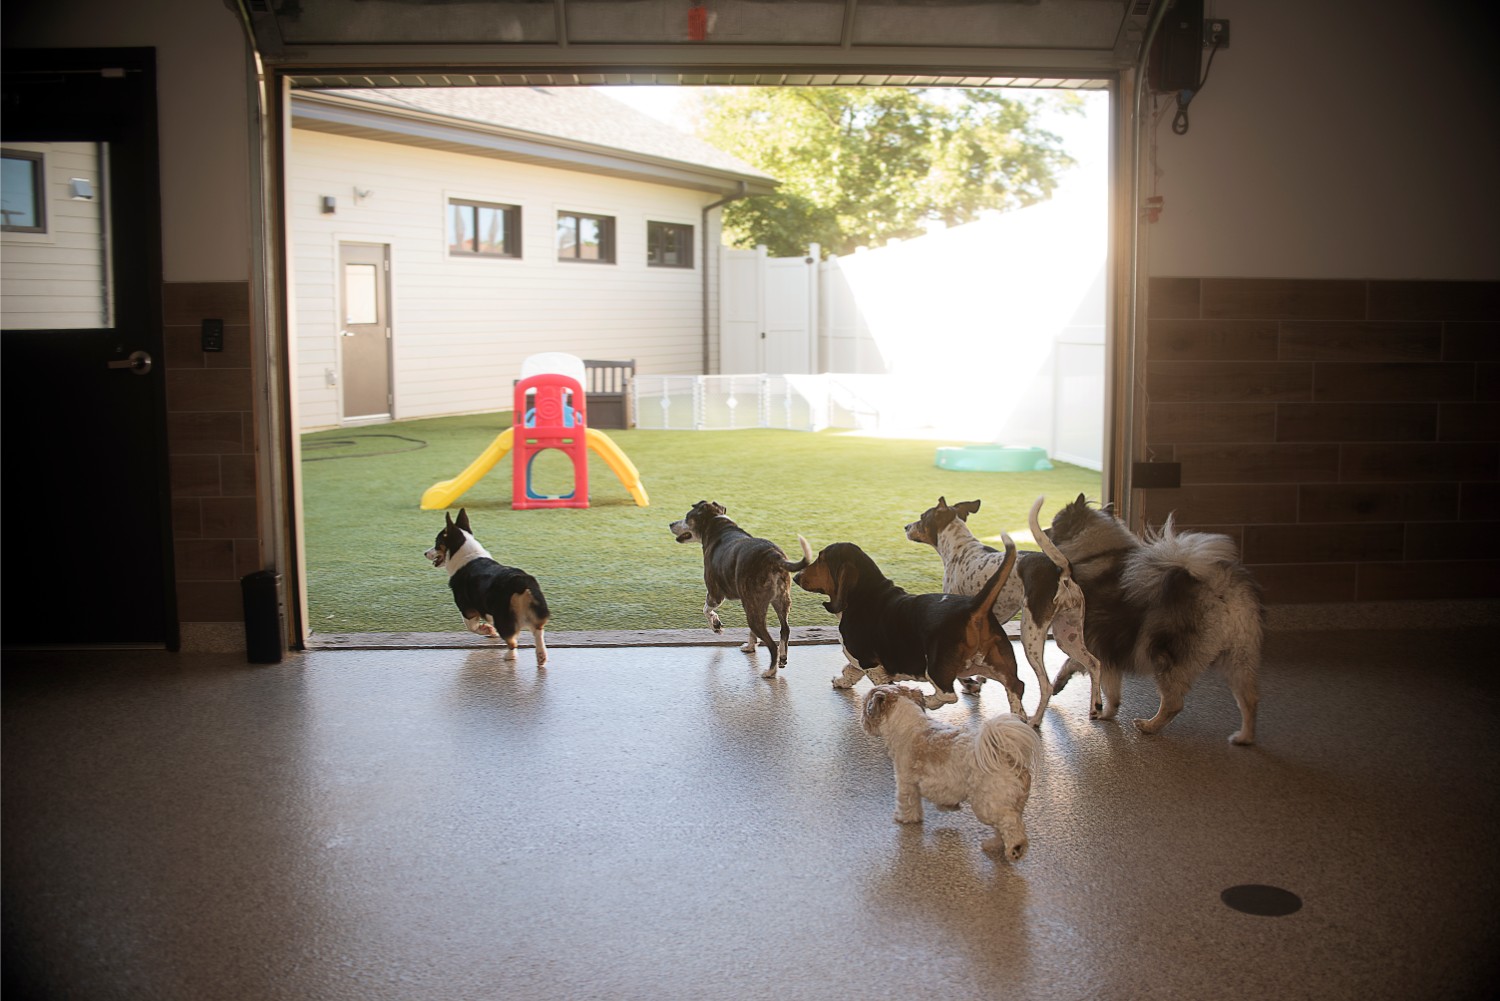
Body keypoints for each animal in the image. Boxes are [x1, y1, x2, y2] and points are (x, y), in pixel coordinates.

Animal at [429, 510, 552, 666]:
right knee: (538, 631)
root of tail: (520, 582)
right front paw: (491, 631)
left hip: (503, 618)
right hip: (535, 613)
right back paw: (541, 656)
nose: (425, 553)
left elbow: (471, 626)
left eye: (437, 543)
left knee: (512, 641)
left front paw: (487, 630)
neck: (466, 555)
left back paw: (509, 656)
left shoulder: (467, 609)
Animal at [864, 690, 1038, 864]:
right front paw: (949, 806)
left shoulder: (906, 782)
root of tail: (1006, 756)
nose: (864, 722)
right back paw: (993, 845)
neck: (907, 725)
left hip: (988, 805)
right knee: (1003, 828)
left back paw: (1016, 848)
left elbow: (907, 803)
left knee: (1009, 823)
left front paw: (904, 818)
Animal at [900, 495, 1104, 723]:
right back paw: (1096, 707)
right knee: (1094, 663)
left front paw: (970, 683)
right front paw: (979, 680)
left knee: (1047, 685)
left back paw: (1034, 720)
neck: (960, 549)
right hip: (1067, 635)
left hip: (1031, 635)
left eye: (922, 517)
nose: (906, 526)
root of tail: (1061, 571)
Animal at [1044, 492, 1266, 744]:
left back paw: (1149, 726)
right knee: (1249, 699)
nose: (1043, 531)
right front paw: (1100, 709)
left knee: (1174, 703)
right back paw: (1244, 737)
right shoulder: (1107, 649)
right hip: (1237, 657)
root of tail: (1218, 588)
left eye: (1054, 524)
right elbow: (1104, 684)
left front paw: (1088, 703)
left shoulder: (1095, 643)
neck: (1094, 554)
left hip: (1164, 654)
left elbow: (1089, 674)